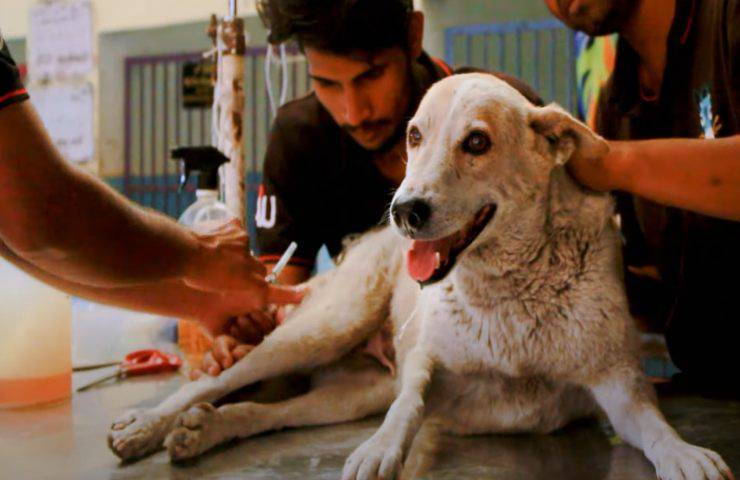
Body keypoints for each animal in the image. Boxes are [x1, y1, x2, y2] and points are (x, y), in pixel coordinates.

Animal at [107, 74, 732, 480]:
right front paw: (381, 451)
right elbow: (407, 407)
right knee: (213, 383)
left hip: (352, 393)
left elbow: (655, 426)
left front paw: (685, 455)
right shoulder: (422, 364)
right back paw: (146, 427)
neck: (504, 290)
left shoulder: (618, 384)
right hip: (325, 329)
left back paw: (205, 431)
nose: (404, 211)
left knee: (270, 414)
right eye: (414, 136)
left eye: (477, 142)